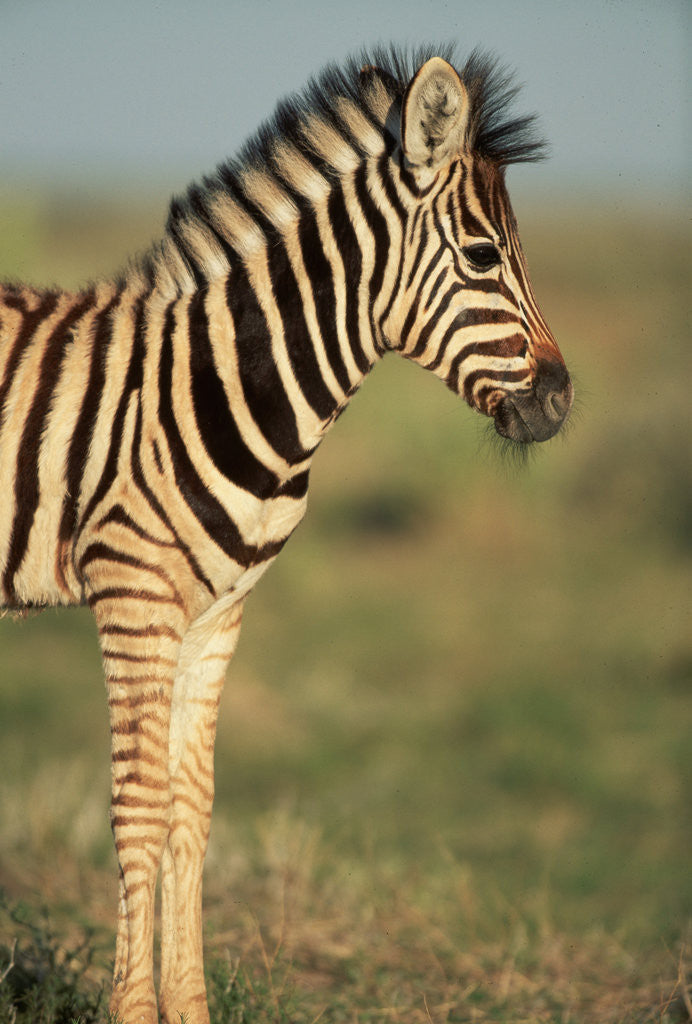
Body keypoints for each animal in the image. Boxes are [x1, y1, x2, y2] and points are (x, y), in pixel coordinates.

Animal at [0, 47, 572, 1024]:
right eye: (483, 255)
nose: (562, 402)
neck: (225, 384)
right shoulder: (133, 595)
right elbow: (138, 806)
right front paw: (135, 1010)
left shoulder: (216, 614)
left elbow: (190, 812)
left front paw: (187, 1009)